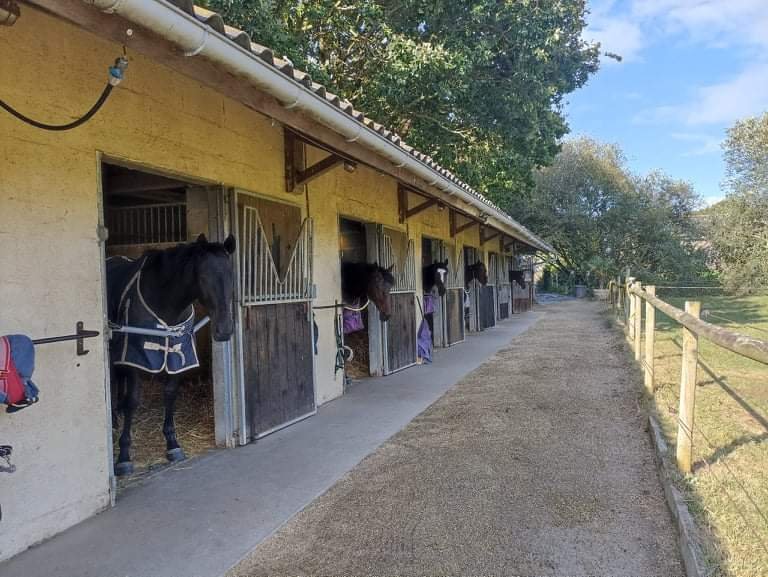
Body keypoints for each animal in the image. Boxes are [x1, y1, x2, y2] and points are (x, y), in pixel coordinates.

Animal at [107, 234, 236, 476]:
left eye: (232, 275)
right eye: (203, 276)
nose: (224, 330)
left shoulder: (178, 355)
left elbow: (170, 394)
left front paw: (173, 444)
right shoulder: (137, 357)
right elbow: (133, 401)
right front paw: (124, 457)